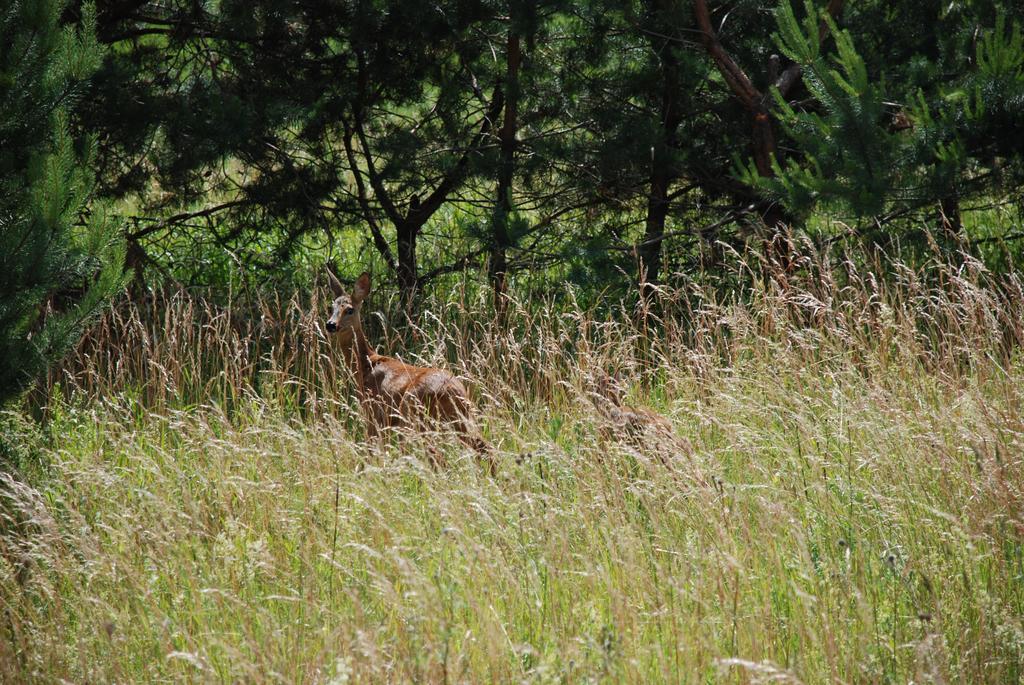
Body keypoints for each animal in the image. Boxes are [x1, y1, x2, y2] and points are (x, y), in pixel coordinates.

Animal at [323, 266, 491, 471]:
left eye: (349, 309)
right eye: (331, 307)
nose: (331, 325)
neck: (366, 366)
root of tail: (456, 391)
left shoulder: (375, 412)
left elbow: (368, 452)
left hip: (418, 416)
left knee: (440, 458)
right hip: (458, 419)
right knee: (483, 447)